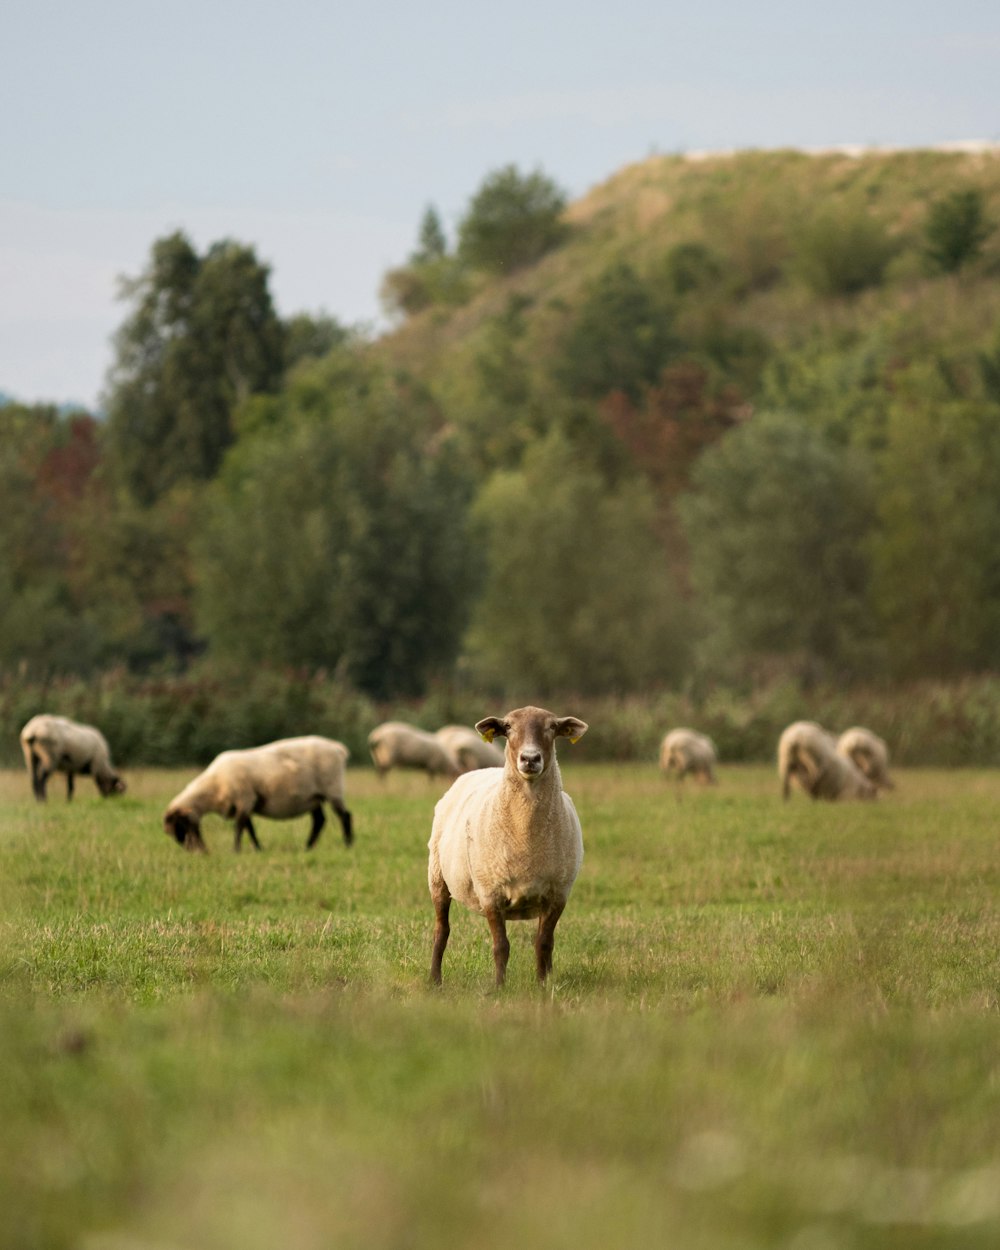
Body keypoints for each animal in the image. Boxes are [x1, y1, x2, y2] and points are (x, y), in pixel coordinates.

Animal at [162, 735, 352, 855]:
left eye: (180, 826)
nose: (198, 852)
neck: (213, 788)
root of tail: (338, 748)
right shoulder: (245, 804)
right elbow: (249, 828)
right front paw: (258, 849)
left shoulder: (245, 799)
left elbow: (239, 828)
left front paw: (236, 850)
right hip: (312, 797)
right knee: (319, 821)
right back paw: (308, 847)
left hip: (333, 789)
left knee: (344, 816)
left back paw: (348, 844)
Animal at [427, 705, 585, 985]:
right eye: (509, 727)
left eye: (552, 727)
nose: (530, 758)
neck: (525, 836)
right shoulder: (490, 892)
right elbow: (501, 946)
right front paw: (499, 986)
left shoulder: (557, 894)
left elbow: (544, 944)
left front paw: (542, 985)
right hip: (437, 877)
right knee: (441, 930)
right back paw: (435, 980)